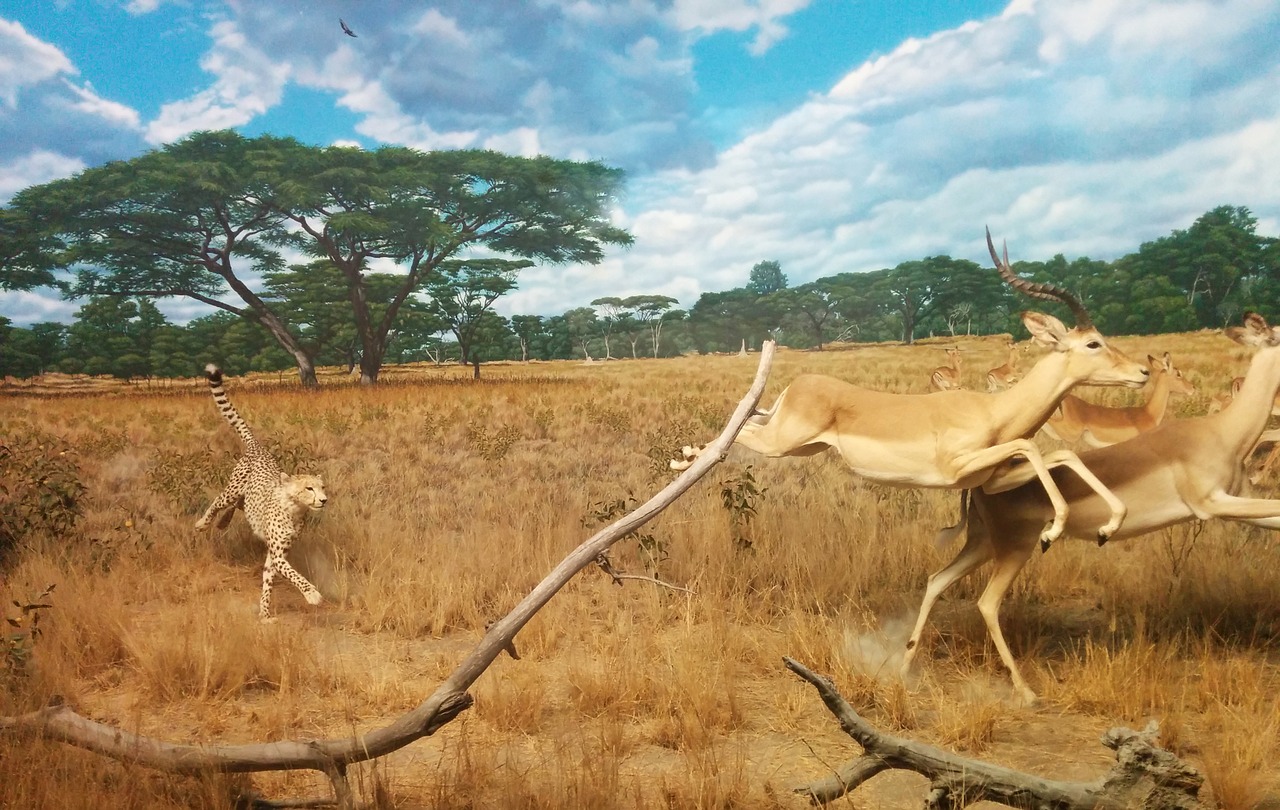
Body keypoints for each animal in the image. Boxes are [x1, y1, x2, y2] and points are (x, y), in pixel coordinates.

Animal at [194, 363, 327, 616]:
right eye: (309, 488)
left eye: (322, 487)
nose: (324, 499)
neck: (295, 510)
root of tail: (259, 447)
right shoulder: (278, 554)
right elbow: (294, 575)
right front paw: (312, 594)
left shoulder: (278, 553)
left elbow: (268, 579)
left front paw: (264, 613)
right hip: (233, 489)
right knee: (219, 502)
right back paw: (203, 523)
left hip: (243, 497)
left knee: (238, 505)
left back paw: (222, 523)